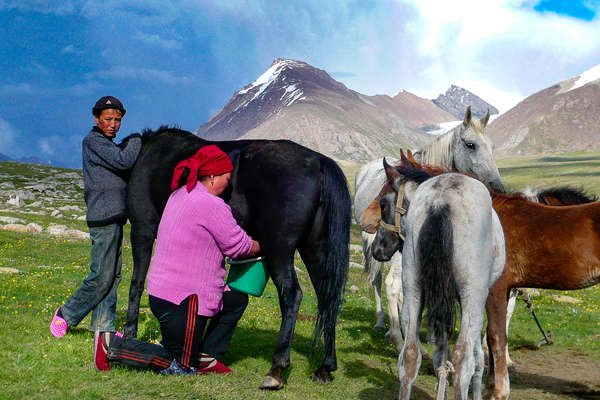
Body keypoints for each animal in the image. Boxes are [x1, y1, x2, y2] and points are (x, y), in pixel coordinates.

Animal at [120, 126, 352, 390]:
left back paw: (277, 368)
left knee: (292, 295)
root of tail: (318, 162)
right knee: (328, 298)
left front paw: (129, 333)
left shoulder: (143, 229)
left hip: (279, 250)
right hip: (314, 249)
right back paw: (325, 366)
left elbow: (136, 284)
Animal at [376, 159, 506, 400]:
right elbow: (477, 358)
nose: (377, 249)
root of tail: (440, 201)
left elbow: (439, 355)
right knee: (463, 358)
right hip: (471, 296)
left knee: (410, 354)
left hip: (413, 288)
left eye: (382, 204)